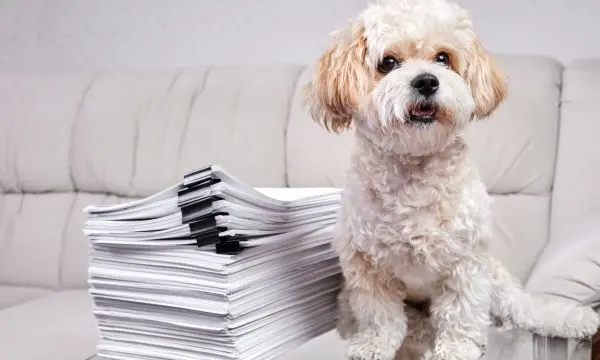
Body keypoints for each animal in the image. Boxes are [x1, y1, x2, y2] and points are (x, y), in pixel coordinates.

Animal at [304, 0, 600, 360]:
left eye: (443, 58)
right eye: (388, 62)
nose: (426, 82)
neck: (415, 173)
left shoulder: (466, 262)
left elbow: (461, 311)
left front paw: (457, 349)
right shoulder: (366, 267)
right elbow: (380, 315)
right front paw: (374, 344)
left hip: (495, 278)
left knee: (521, 306)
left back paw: (572, 319)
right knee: (415, 322)